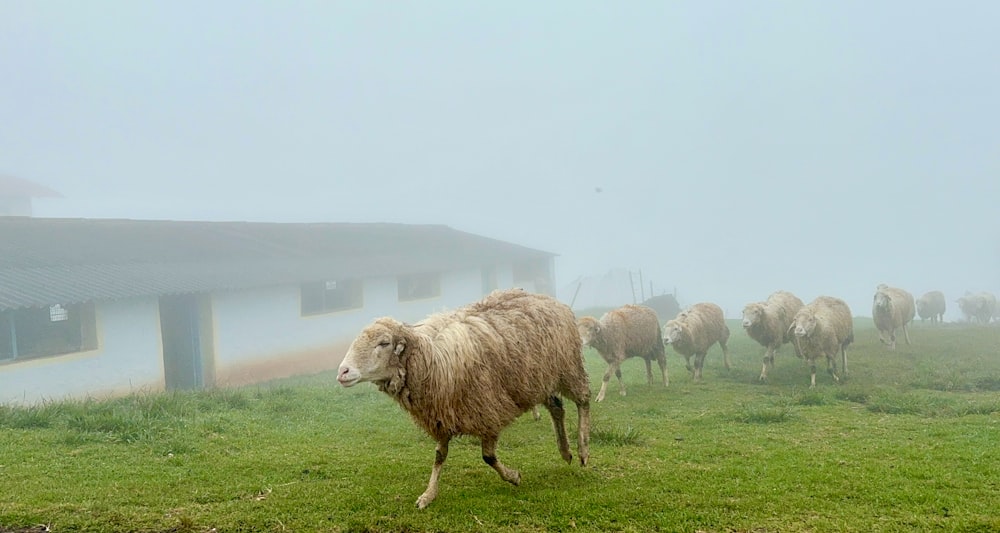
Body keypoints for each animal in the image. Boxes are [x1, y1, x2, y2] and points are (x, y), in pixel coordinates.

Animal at [336, 288, 588, 510]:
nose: (342, 372)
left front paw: (513, 477)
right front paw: (428, 495)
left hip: (568, 367)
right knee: (557, 408)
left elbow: (488, 457)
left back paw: (583, 450)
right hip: (539, 379)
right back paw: (565, 452)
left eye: (384, 343)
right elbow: (439, 456)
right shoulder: (442, 415)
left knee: (583, 400)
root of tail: (546, 298)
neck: (433, 359)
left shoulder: (487, 411)